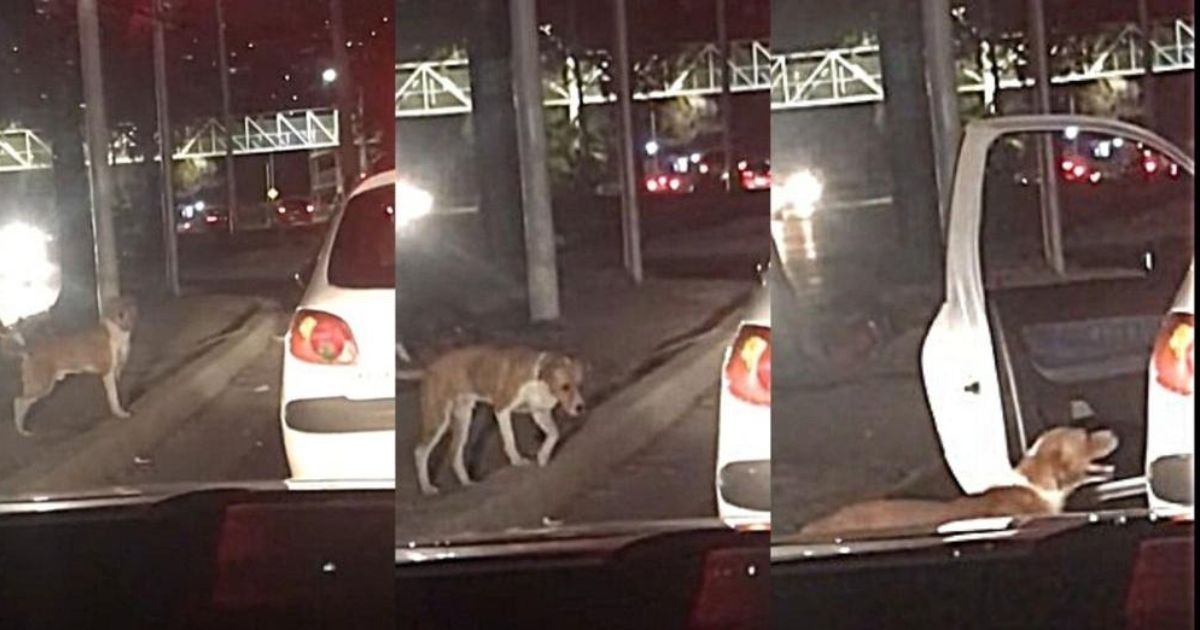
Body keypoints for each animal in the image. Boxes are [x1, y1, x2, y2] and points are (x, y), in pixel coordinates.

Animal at [3, 297, 138, 434]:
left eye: (127, 312)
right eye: (119, 314)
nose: (125, 323)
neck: (117, 332)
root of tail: (30, 350)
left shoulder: (116, 371)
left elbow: (116, 393)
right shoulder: (107, 373)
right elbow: (114, 397)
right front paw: (121, 414)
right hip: (42, 386)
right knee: (18, 402)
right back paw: (22, 431)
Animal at [412, 343, 585, 496]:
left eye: (579, 385)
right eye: (565, 387)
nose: (580, 407)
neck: (538, 378)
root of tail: (429, 369)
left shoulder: (539, 413)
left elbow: (554, 434)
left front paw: (543, 456)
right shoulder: (502, 409)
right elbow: (510, 439)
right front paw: (517, 461)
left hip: (464, 419)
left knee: (454, 454)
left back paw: (467, 483)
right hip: (438, 421)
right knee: (420, 452)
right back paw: (427, 488)